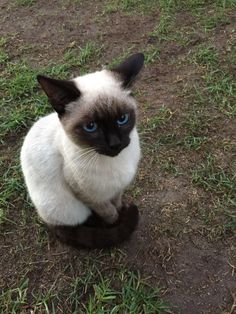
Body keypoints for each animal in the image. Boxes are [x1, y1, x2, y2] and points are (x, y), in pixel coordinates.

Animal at [21, 52, 144, 248]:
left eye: (122, 119)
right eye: (90, 127)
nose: (115, 144)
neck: (115, 163)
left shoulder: (118, 189)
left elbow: (117, 204)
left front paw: (122, 210)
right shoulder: (89, 197)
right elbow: (110, 213)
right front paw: (117, 221)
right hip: (69, 207)